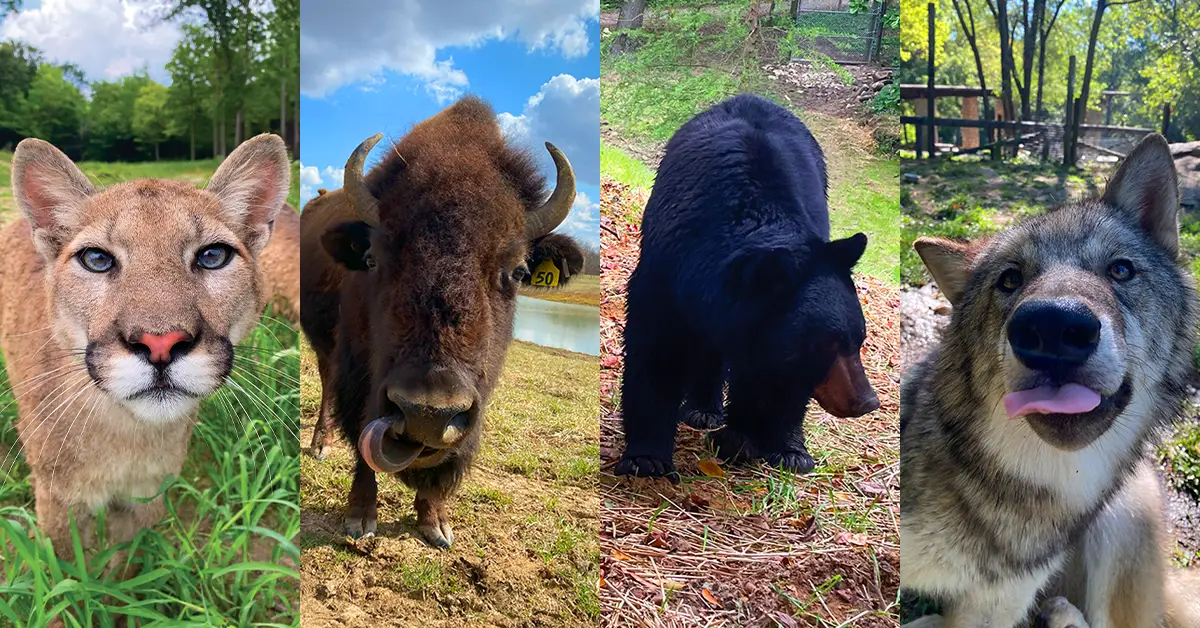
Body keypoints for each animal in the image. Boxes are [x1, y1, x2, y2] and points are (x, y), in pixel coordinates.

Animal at [297, 96, 583, 547]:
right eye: (373, 259)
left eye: (518, 271)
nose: (426, 414)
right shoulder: (362, 375)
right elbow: (361, 435)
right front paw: (360, 519)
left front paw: (436, 523)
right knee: (327, 382)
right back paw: (319, 444)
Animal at [614, 93, 878, 480]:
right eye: (828, 344)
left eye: (859, 339)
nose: (867, 402)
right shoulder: (667, 269)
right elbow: (656, 350)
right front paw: (645, 457)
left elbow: (779, 380)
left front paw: (781, 447)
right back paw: (703, 410)